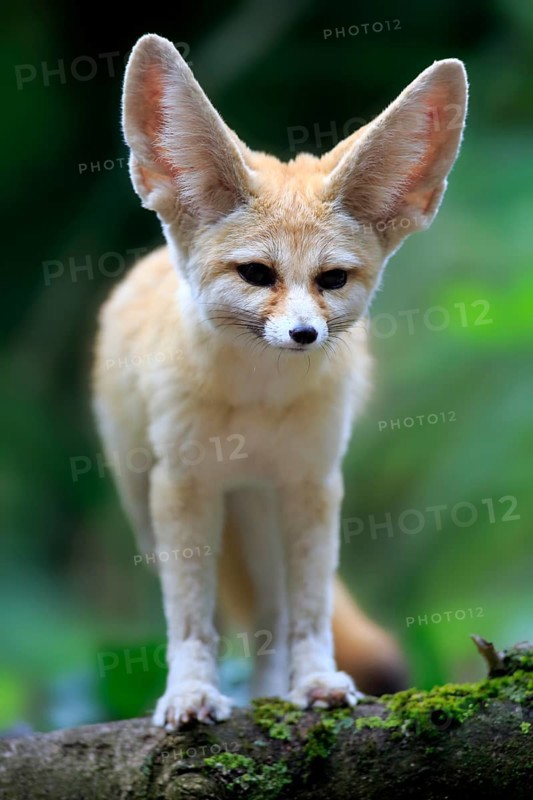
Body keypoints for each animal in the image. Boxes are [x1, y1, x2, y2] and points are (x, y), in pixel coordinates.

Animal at [92, 33, 468, 729]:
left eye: (332, 280)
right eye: (256, 274)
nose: (303, 335)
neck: (258, 403)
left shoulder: (312, 484)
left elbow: (310, 613)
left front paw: (316, 683)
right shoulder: (182, 488)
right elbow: (192, 622)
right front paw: (190, 694)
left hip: (260, 514)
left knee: (270, 616)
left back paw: (269, 694)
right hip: (157, 508)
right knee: (230, 614)